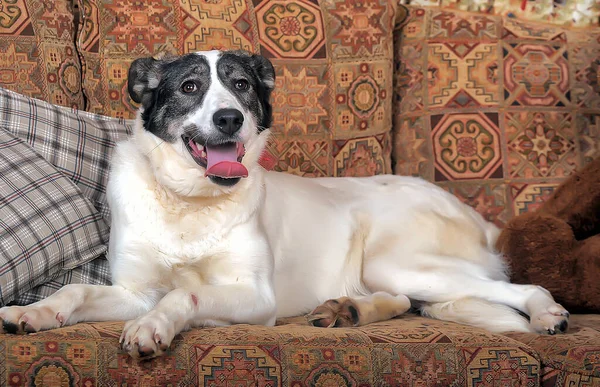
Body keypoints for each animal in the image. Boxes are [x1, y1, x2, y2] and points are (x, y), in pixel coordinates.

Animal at [0, 50, 568, 360]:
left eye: (242, 86)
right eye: (189, 87)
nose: (229, 118)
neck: (190, 203)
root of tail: (477, 217)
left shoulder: (256, 298)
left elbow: (186, 295)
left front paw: (152, 328)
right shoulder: (133, 290)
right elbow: (77, 290)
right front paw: (33, 312)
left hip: (401, 260)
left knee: (524, 288)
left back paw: (549, 316)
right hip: (393, 273)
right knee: (404, 301)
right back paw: (348, 310)